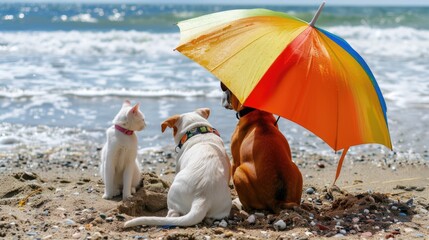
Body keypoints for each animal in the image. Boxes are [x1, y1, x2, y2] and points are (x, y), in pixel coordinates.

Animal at [221, 83, 300, 211]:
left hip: (240, 172)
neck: (258, 112)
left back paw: (238, 203)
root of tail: (277, 201)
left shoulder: (235, 161)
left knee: (248, 206)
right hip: (296, 169)